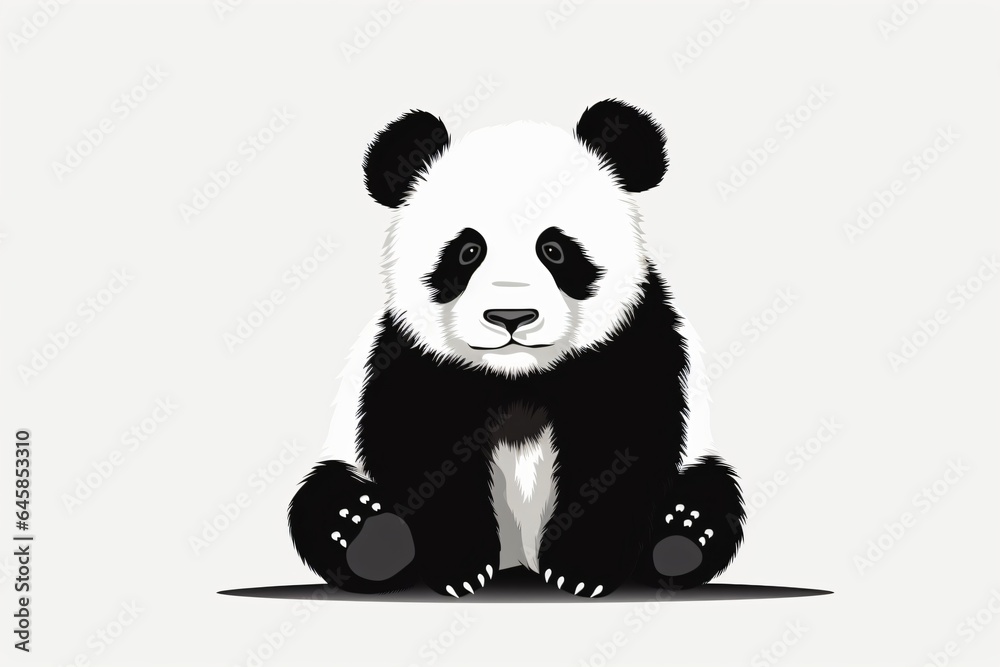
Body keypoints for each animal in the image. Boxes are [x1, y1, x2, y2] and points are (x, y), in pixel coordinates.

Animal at [288, 99, 745, 598]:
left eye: (555, 249)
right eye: (468, 251)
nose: (511, 317)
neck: (519, 375)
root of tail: (520, 562)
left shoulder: (631, 343)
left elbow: (623, 447)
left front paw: (581, 570)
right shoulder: (415, 357)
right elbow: (421, 445)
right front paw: (461, 568)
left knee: (711, 490)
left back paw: (681, 537)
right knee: (323, 494)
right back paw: (367, 538)